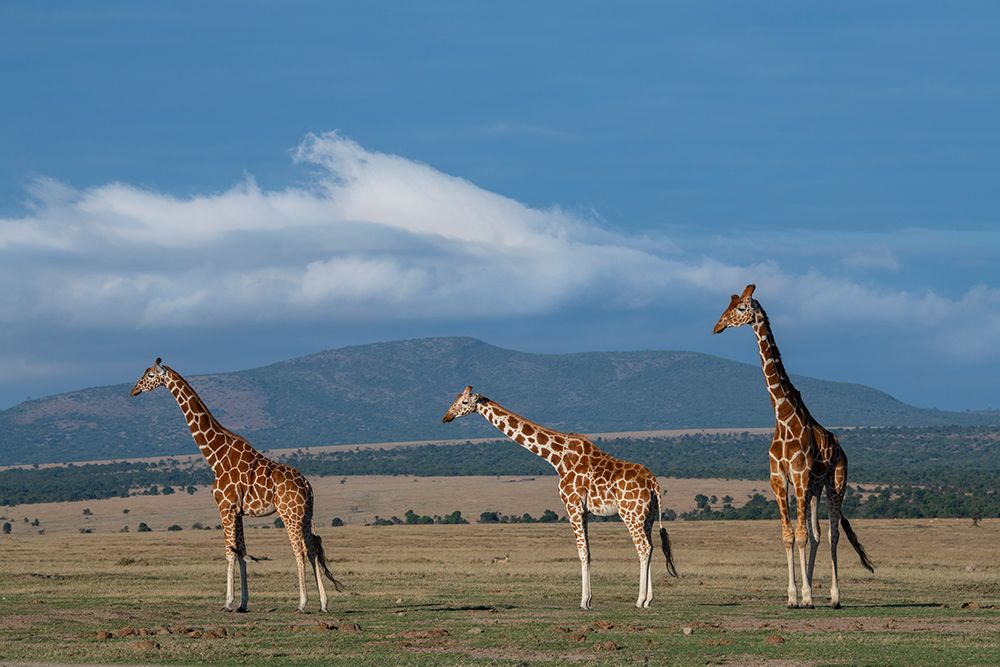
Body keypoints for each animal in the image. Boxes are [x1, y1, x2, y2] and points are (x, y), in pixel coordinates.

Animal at [130, 358, 344, 613]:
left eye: (151, 375)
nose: (134, 391)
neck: (216, 456)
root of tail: (307, 485)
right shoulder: (239, 512)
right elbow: (241, 552)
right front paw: (243, 602)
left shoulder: (226, 508)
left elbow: (229, 553)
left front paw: (228, 602)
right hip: (306, 514)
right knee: (312, 549)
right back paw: (323, 603)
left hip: (289, 513)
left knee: (299, 550)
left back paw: (302, 603)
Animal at [442, 386, 677, 609]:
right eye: (454, 399)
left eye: (464, 402)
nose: (446, 417)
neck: (556, 458)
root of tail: (653, 483)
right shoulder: (584, 510)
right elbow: (589, 552)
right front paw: (589, 599)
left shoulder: (571, 505)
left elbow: (582, 552)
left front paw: (584, 601)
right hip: (647, 516)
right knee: (651, 547)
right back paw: (648, 600)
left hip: (630, 513)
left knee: (643, 548)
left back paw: (640, 600)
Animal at [713, 285, 874, 608]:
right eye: (729, 306)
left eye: (741, 308)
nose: (718, 326)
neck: (783, 415)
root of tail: (842, 450)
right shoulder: (779, 480)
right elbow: (790, 535)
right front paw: (793, 596)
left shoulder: (799, 478)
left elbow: (801, 535)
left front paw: (807, 595)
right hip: (813, 489)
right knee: (816, 533)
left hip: (835, 484)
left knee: (832, 534)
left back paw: (834, 597)